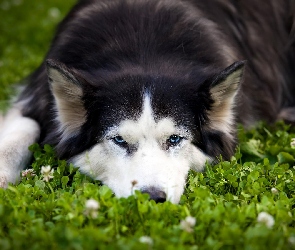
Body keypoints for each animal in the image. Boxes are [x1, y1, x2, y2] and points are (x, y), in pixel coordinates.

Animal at [0, 0, 295, 203]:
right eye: (119, 140)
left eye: (175, 139)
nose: (152, 198)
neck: (143, 48)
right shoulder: (35, 95)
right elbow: (24, 130)